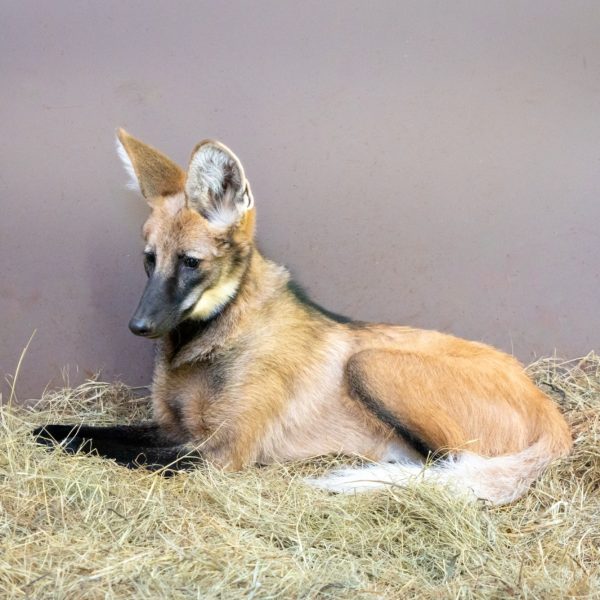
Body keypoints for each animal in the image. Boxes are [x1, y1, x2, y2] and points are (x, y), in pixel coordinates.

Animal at [32, 129, 572, 504]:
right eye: (149, 259)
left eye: (189, 263)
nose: (138, 327)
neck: (210, 339)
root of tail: (551, 411)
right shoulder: (175, 429)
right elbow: (63, 431)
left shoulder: (221, 452)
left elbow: (105, 447)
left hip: (370, 364)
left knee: (457, 466)